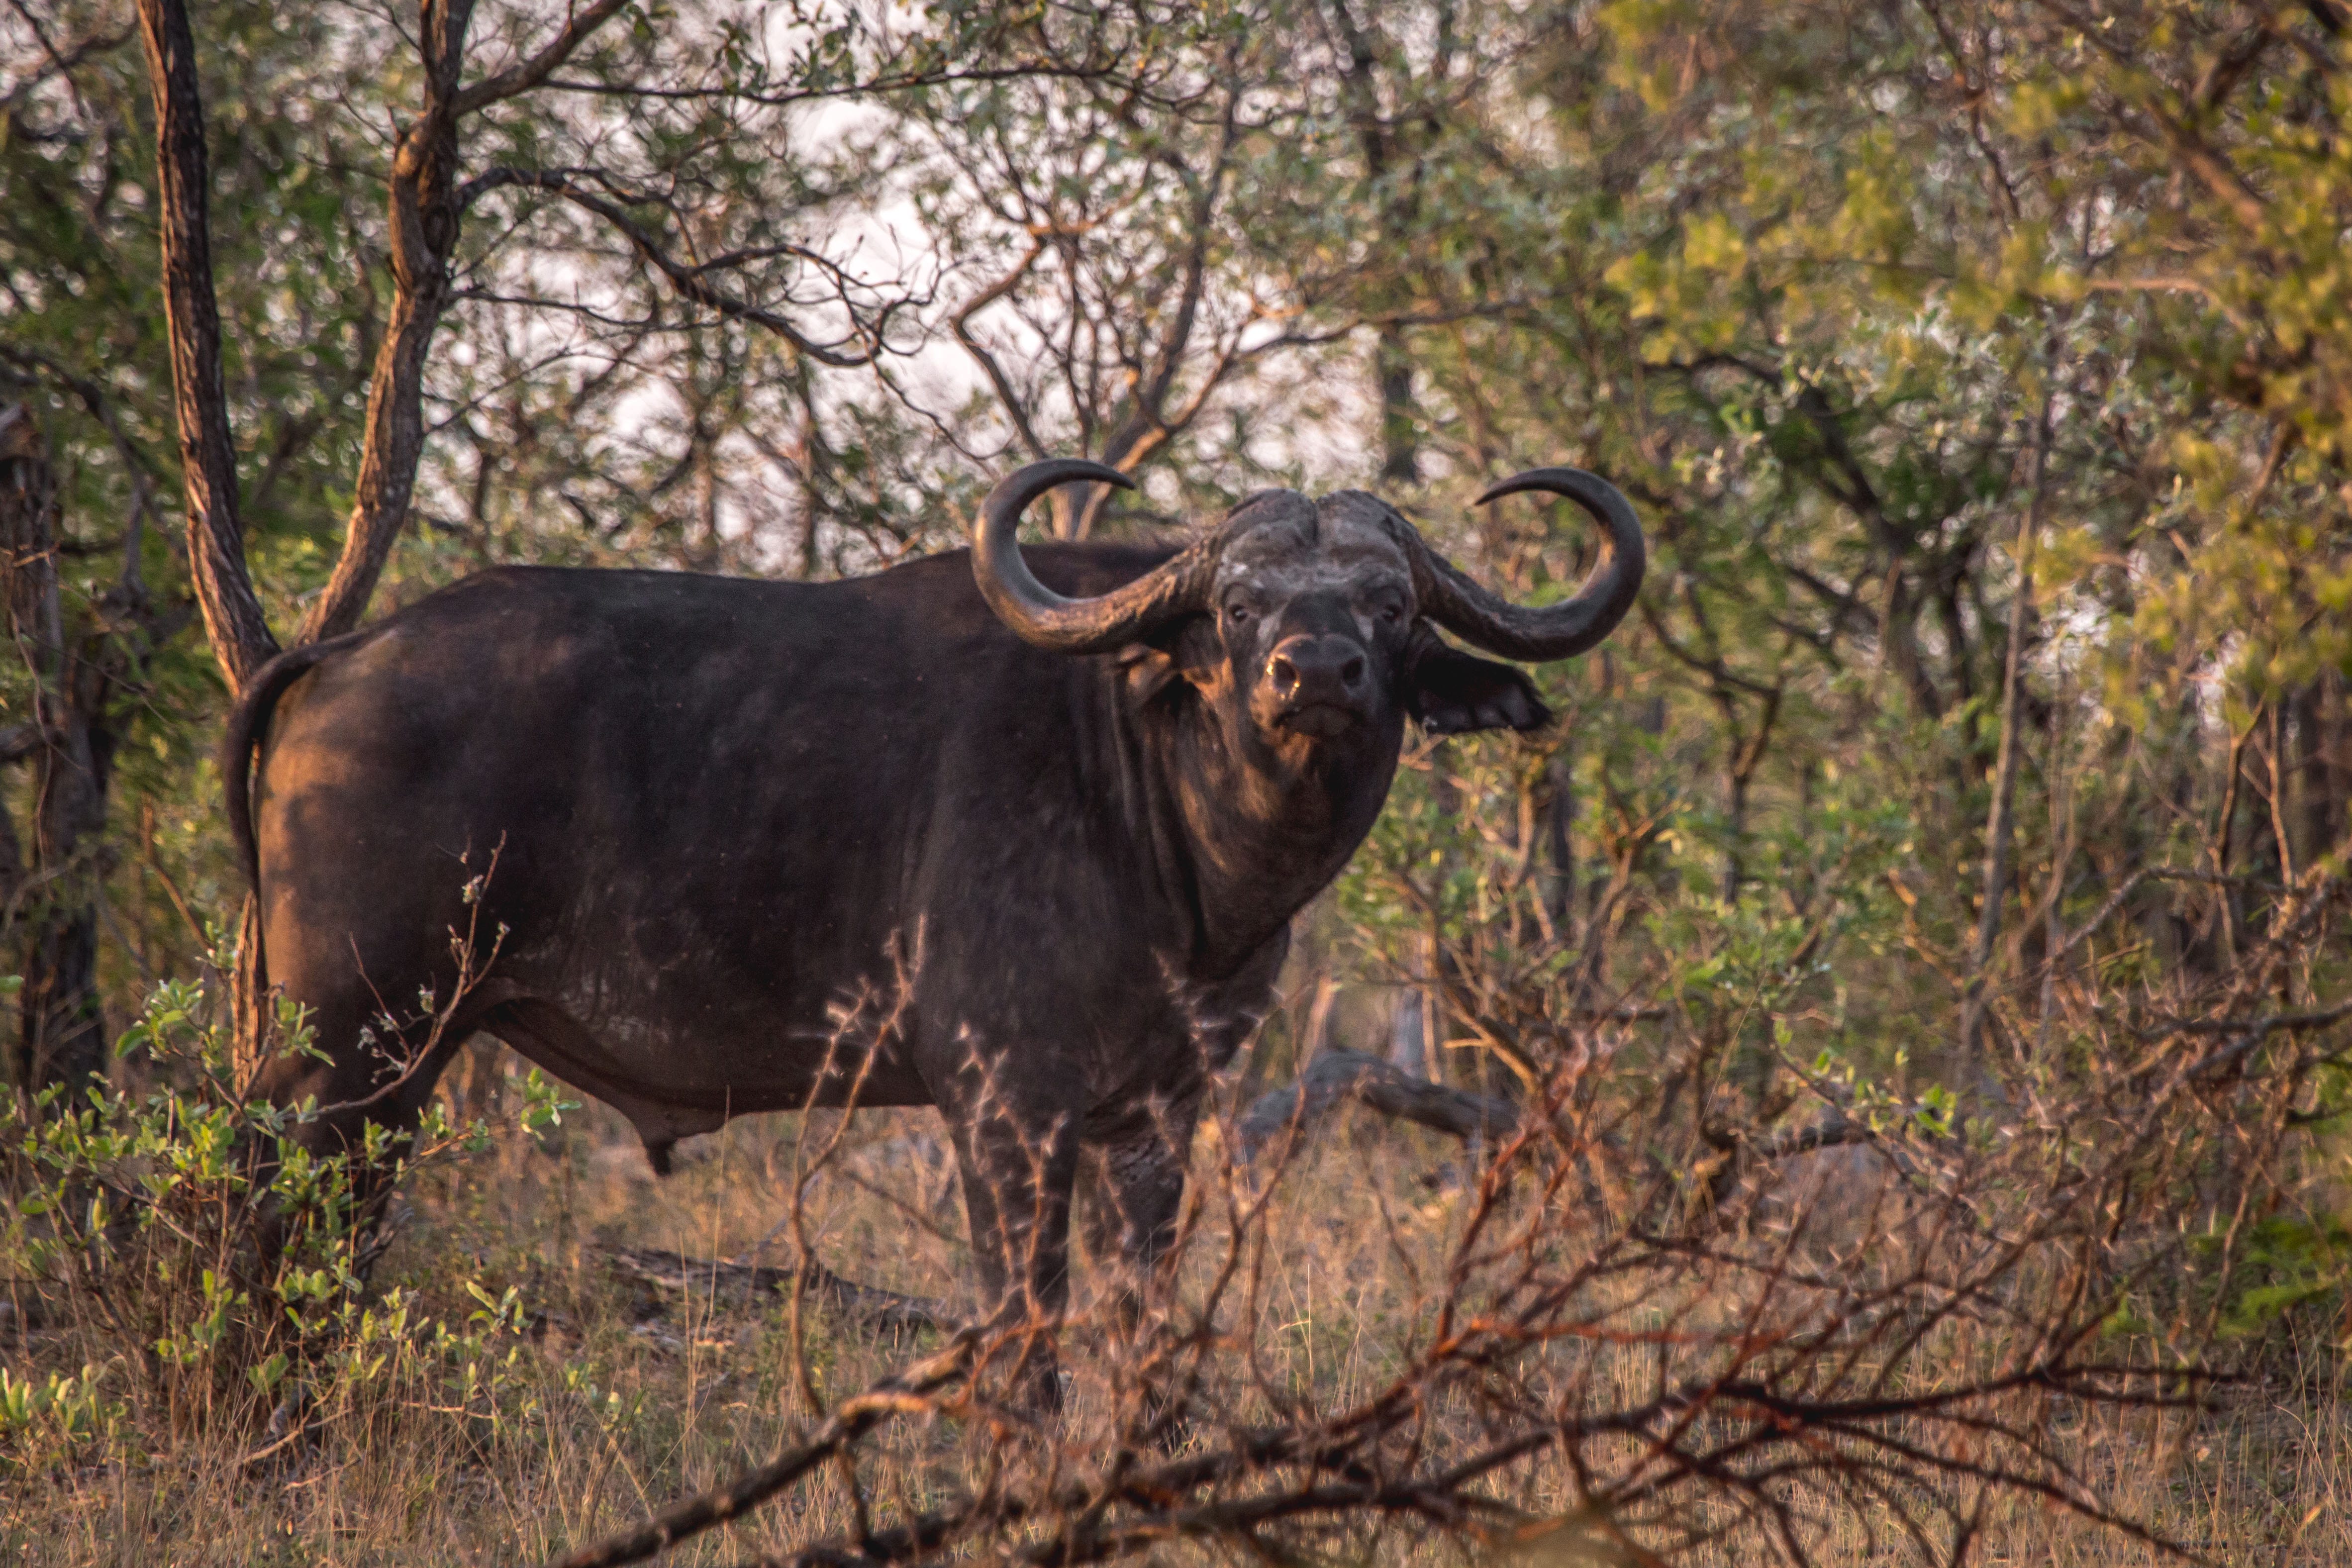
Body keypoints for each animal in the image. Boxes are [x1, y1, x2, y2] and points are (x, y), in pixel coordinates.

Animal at [229, 456, 1646, 1382]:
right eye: (1241, 606)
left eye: (1391, 607)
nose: (1317, 674)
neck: (1168, 825)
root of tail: (347, 653)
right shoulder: (1005, 1105)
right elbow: (1022, 1333)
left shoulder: (1157, 1117)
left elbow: (1138, 1325)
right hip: (347, 1046)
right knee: (268, 1221)